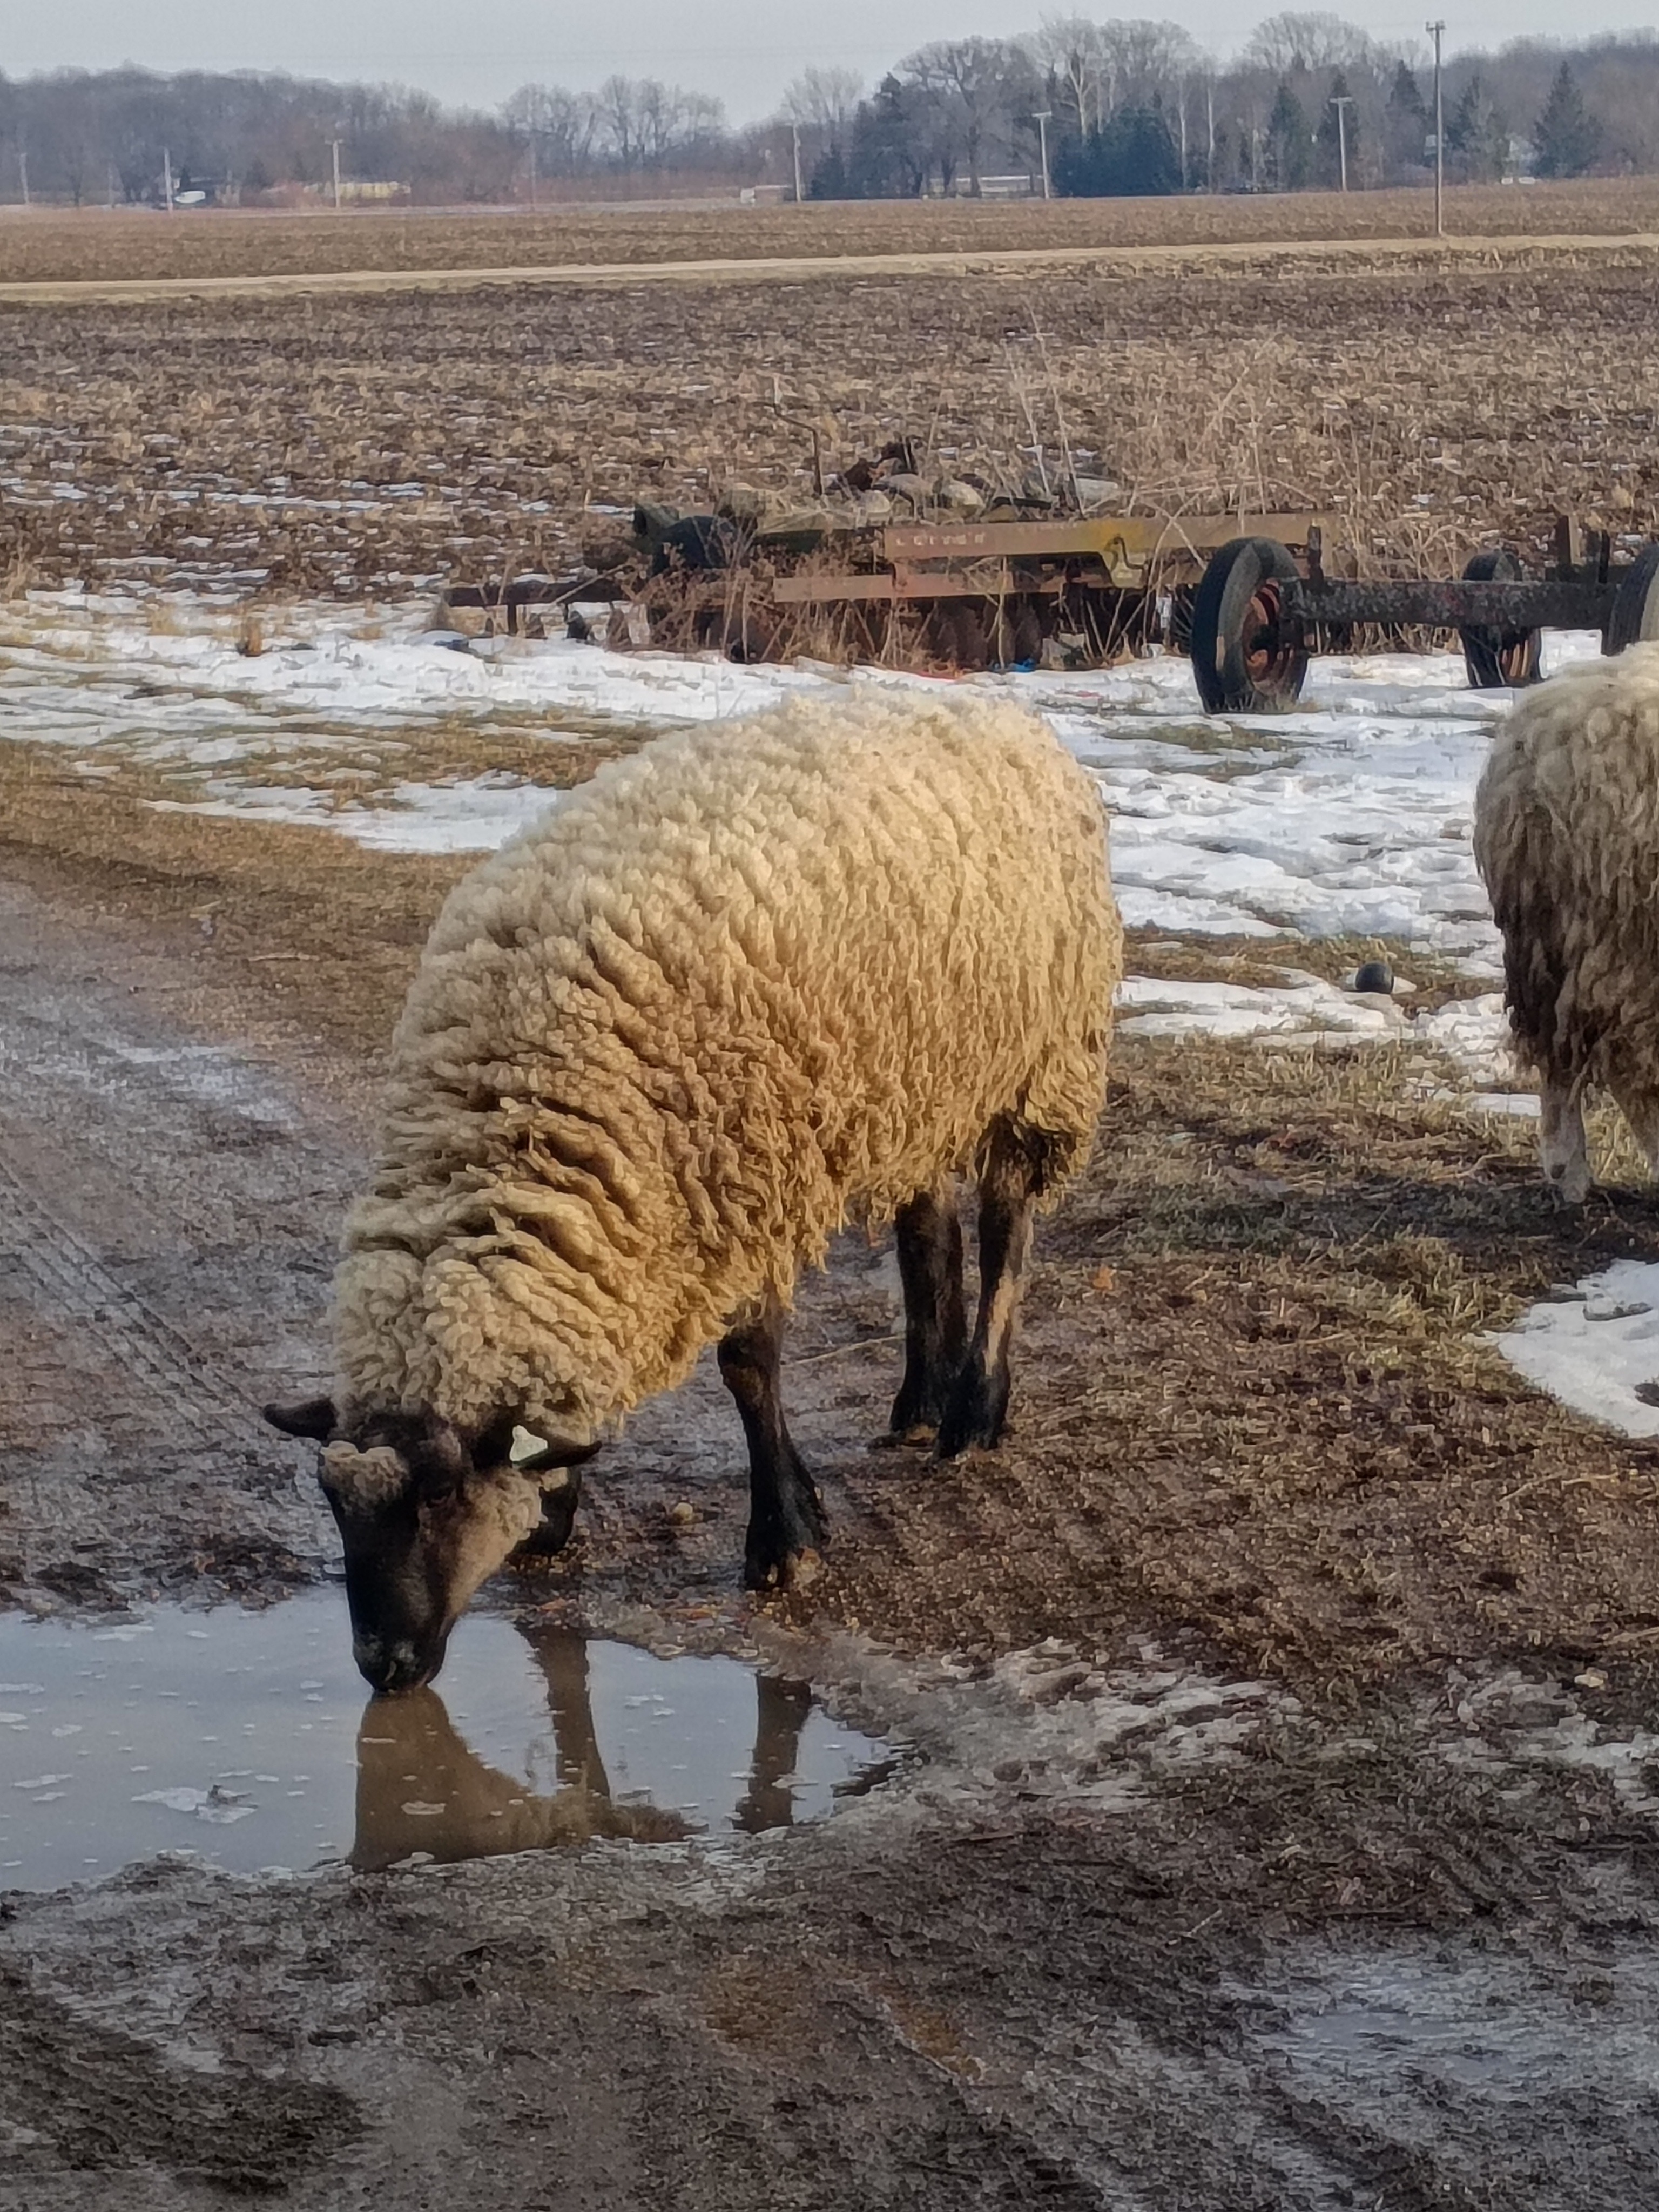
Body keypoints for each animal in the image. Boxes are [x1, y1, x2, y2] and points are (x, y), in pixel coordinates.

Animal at [266, 689, 1121, 1692]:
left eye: (440, 1494)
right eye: (332, 1502)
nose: (386, 1667)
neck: (521, 1097)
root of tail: (985, 703)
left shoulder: (752, 1185)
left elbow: (749, 1366)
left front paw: (784, 1540)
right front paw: (560, 1512)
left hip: (1038, 1056)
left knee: (1005, 1222)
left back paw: (975, 1409)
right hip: (917, 1082)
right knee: (929, 1228)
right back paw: (920, 1400)